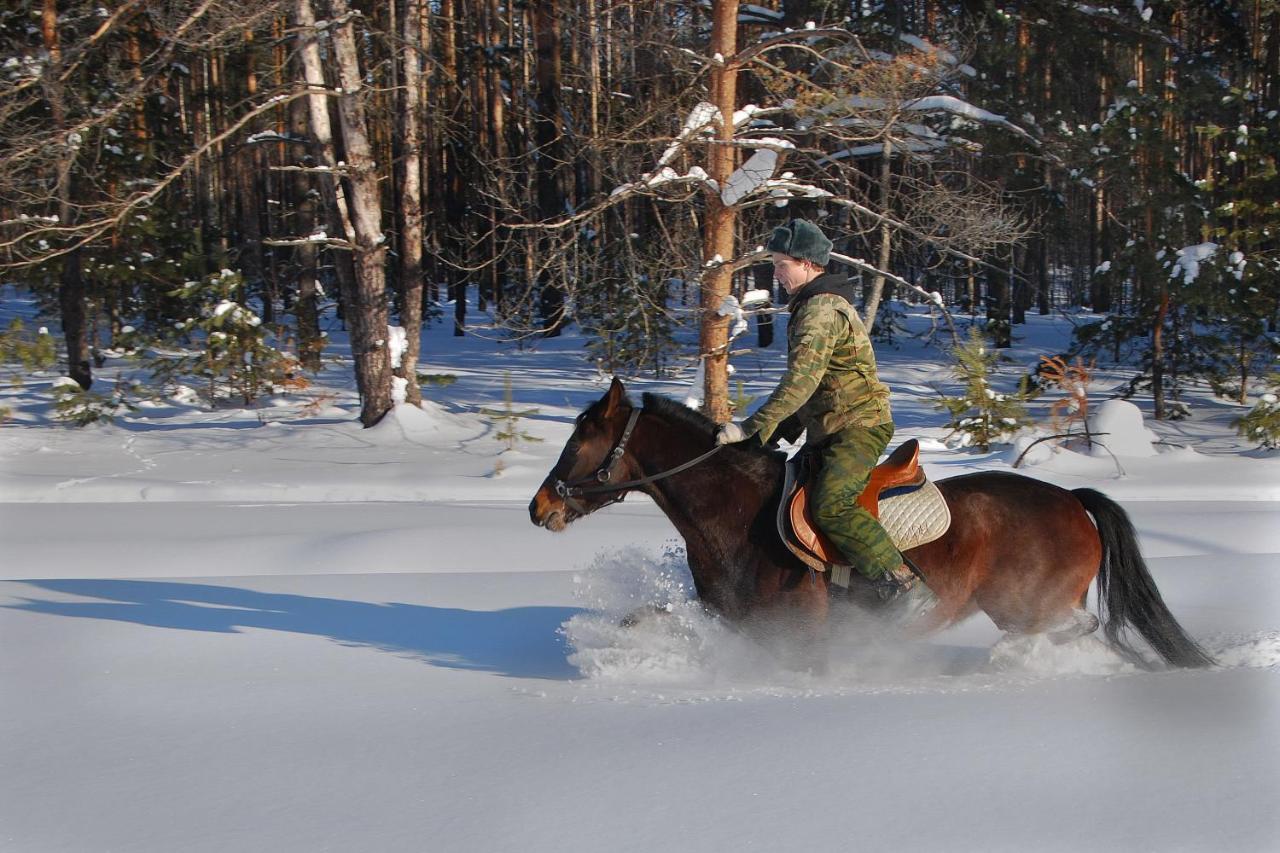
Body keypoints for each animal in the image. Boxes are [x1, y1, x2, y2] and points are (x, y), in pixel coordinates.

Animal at [524, 376, 1213, 666]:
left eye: (582, 441)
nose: (539, 507)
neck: (735, 515)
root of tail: (1071, 499)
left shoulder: (798, 635)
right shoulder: (736, 621)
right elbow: (648, 620)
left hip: (1027, 604)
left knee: (1074, 627)